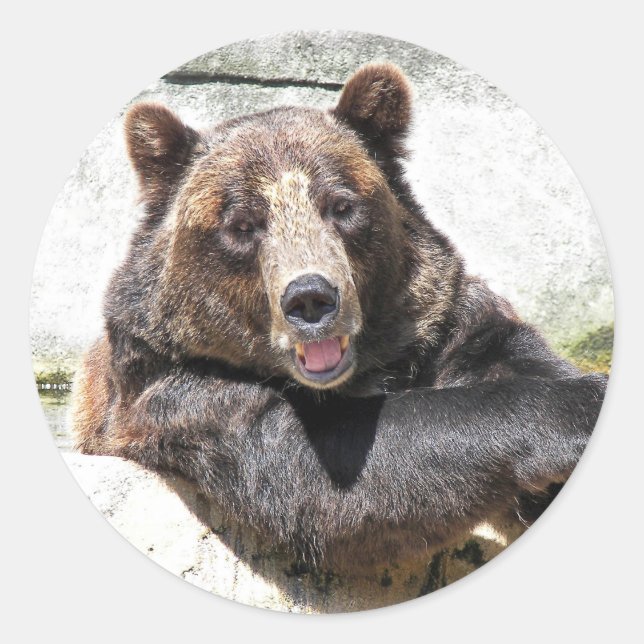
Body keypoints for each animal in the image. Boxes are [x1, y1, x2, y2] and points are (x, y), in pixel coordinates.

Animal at [72, 63, 607, 569]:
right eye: (241, 224)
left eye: (341, 204)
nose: (310, 299)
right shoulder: (183, 393)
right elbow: (326, 474)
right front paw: (580, 408)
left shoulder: (448, 328)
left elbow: (512, 358)